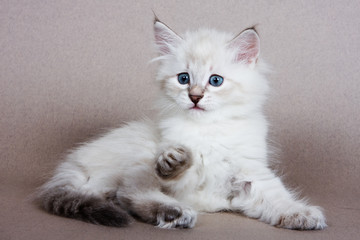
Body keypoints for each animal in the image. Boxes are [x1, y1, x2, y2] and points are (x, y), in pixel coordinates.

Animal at [36, 19, 326, 231]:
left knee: (121, 196)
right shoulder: (184, 180)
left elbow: (278, 197)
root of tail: (75, 159)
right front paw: (174, 162)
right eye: (183, 78)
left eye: (216, 80)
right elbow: (178, 172)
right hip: (140, 155)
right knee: (130, 194)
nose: (195, 97)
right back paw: (175, 213)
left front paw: (300, 215)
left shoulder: (250, 174)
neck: (209, 130)